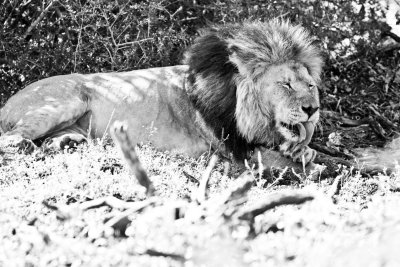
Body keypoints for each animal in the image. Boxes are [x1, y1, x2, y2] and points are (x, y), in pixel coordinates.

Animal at [0, 21, 322, 166]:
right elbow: (292, 163)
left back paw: (65, 143)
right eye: (285, 85)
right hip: (66, 100)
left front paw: (304, 151)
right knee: (11, 137)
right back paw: (26, 147)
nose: (312, 110)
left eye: (310, 86)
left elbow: (305, 152)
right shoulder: (237, 150)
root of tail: (7, 103)